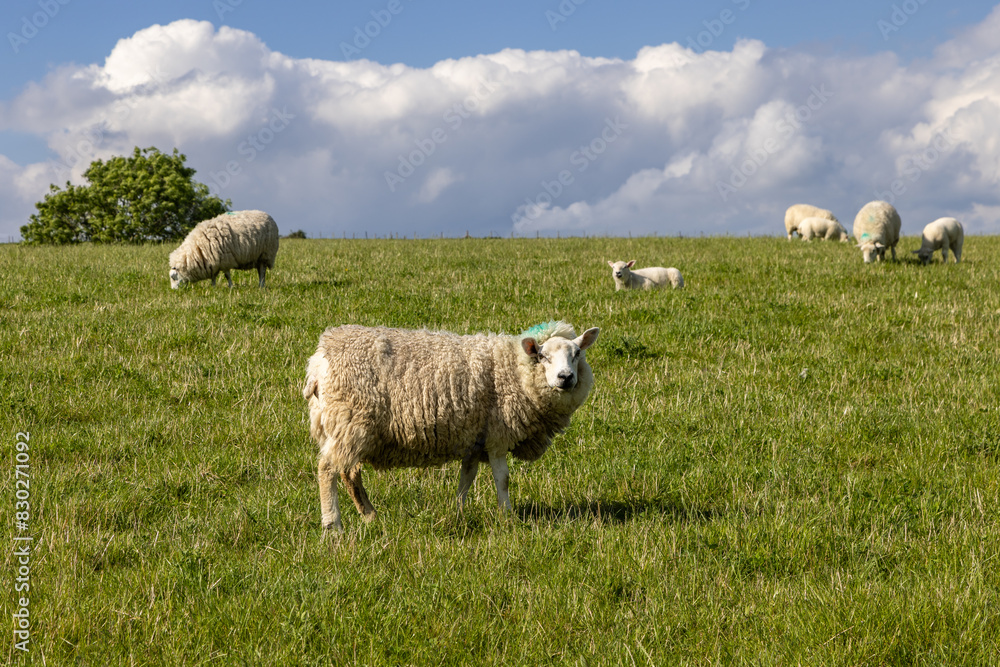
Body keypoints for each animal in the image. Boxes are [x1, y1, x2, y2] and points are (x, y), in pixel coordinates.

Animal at [303, 321, 600, 532]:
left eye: (577, 354)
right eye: (543, 356)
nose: (566, 377)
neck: (513, 368)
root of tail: (317, 362)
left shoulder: (476, 439)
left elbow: (466, 478)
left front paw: (458, 512)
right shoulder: (497, 436)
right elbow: (503, 479)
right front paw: (508, 517)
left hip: (341, 427)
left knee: (349, 473)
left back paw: (370, 516)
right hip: (349, 421)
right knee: (327, 470)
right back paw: (333, 525)